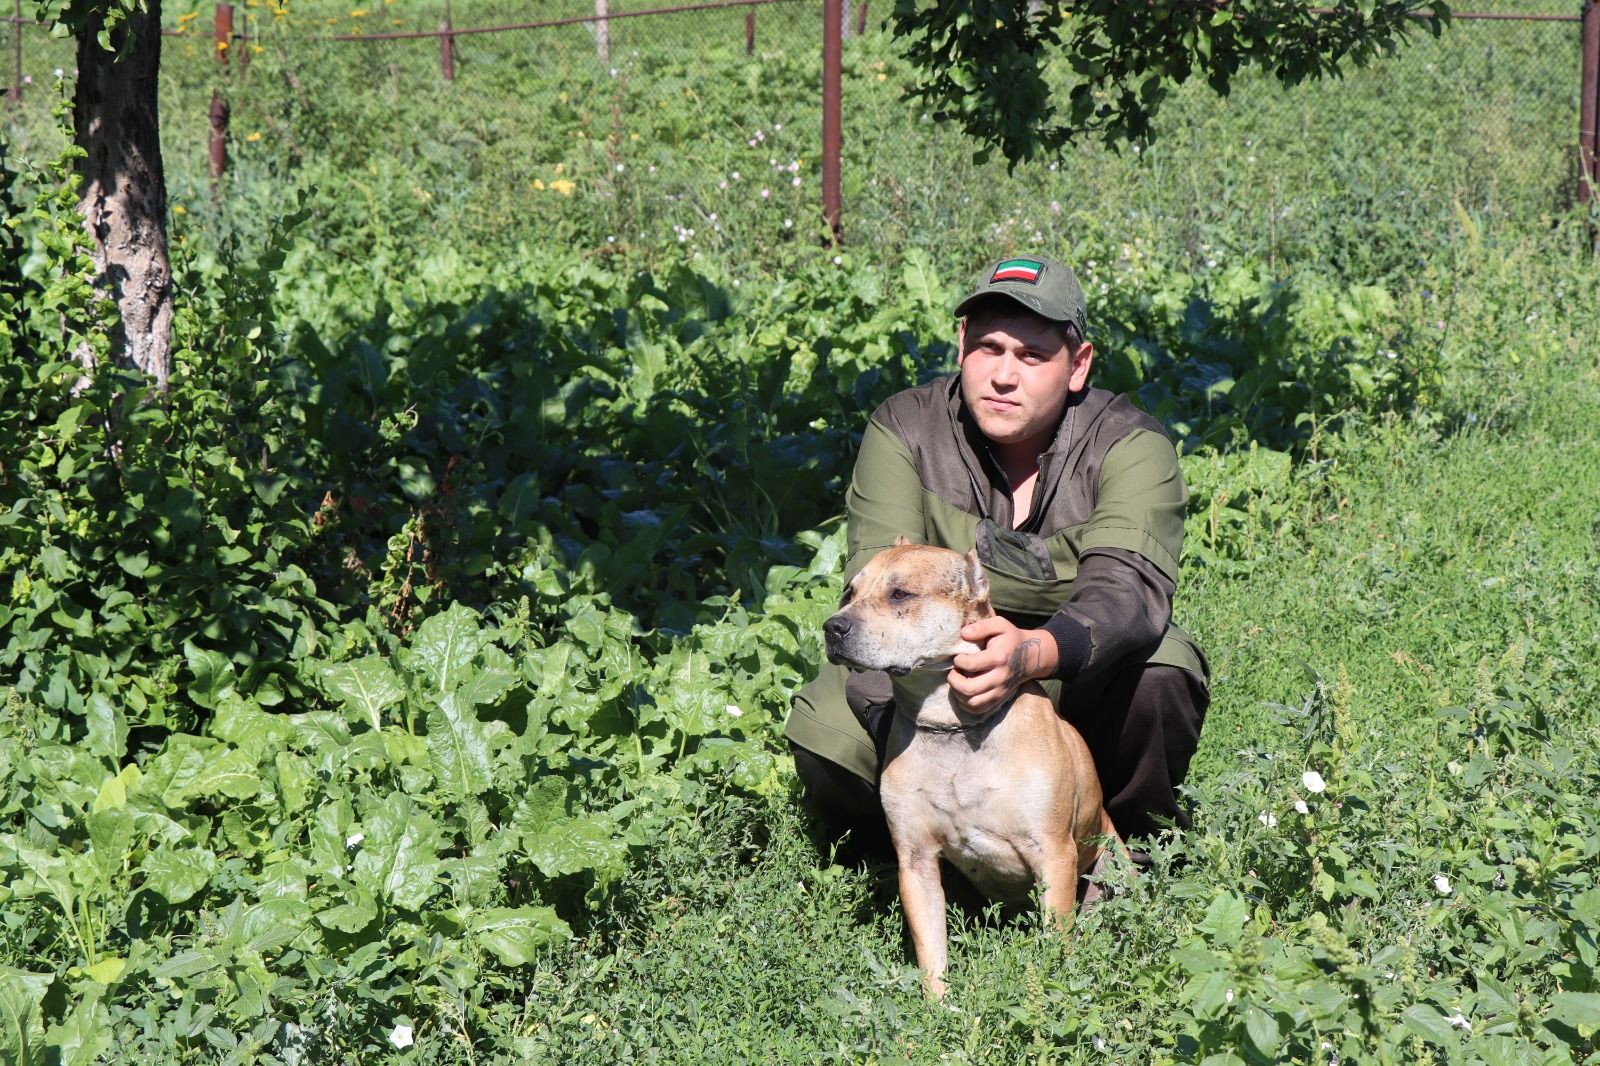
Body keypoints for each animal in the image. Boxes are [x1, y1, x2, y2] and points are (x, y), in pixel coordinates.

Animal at [825, 541, 1113, 998]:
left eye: (900, 594)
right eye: (849, 592)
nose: (832, 628)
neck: (950, 724)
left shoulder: (1054, 854)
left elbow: (1056, 943)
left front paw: (1052, 995)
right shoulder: (916, 861)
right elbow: (931, 951)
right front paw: (937, 1010)